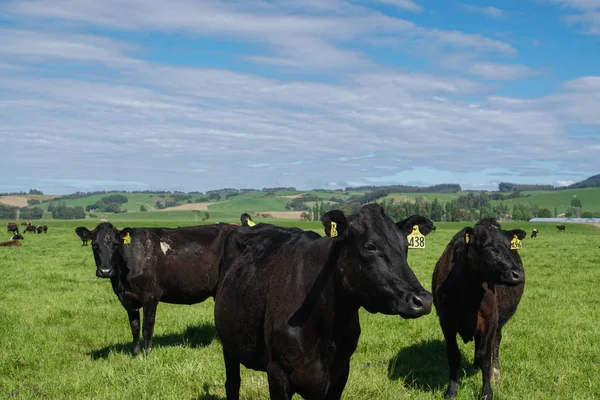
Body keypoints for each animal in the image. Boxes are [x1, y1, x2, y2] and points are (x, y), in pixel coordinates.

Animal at [78, 222, 238, 356]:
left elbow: (147, 328)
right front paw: (135, 354)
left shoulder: (150, 296)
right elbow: (135, 328)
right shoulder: (127, 299)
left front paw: (147, 355)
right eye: (94, 245)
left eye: (116, 245)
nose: (105, 271)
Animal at [213, 206, 434, 400]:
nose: (423, 300)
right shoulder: (278, 372)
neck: (327, 330)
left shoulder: (341, 371)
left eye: (405, 247)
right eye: (370, 246)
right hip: (228, 344)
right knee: (232, 383)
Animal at [432, 219, 524, 400]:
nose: (517, 274)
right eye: (487, 246)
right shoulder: (446, 322)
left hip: (498, 322)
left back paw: (495, 372)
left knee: (495, 342)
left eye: (509, 246)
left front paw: (487, 391)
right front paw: (451, 390)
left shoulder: (490, 322)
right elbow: (453, 356)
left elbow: (485, 358)